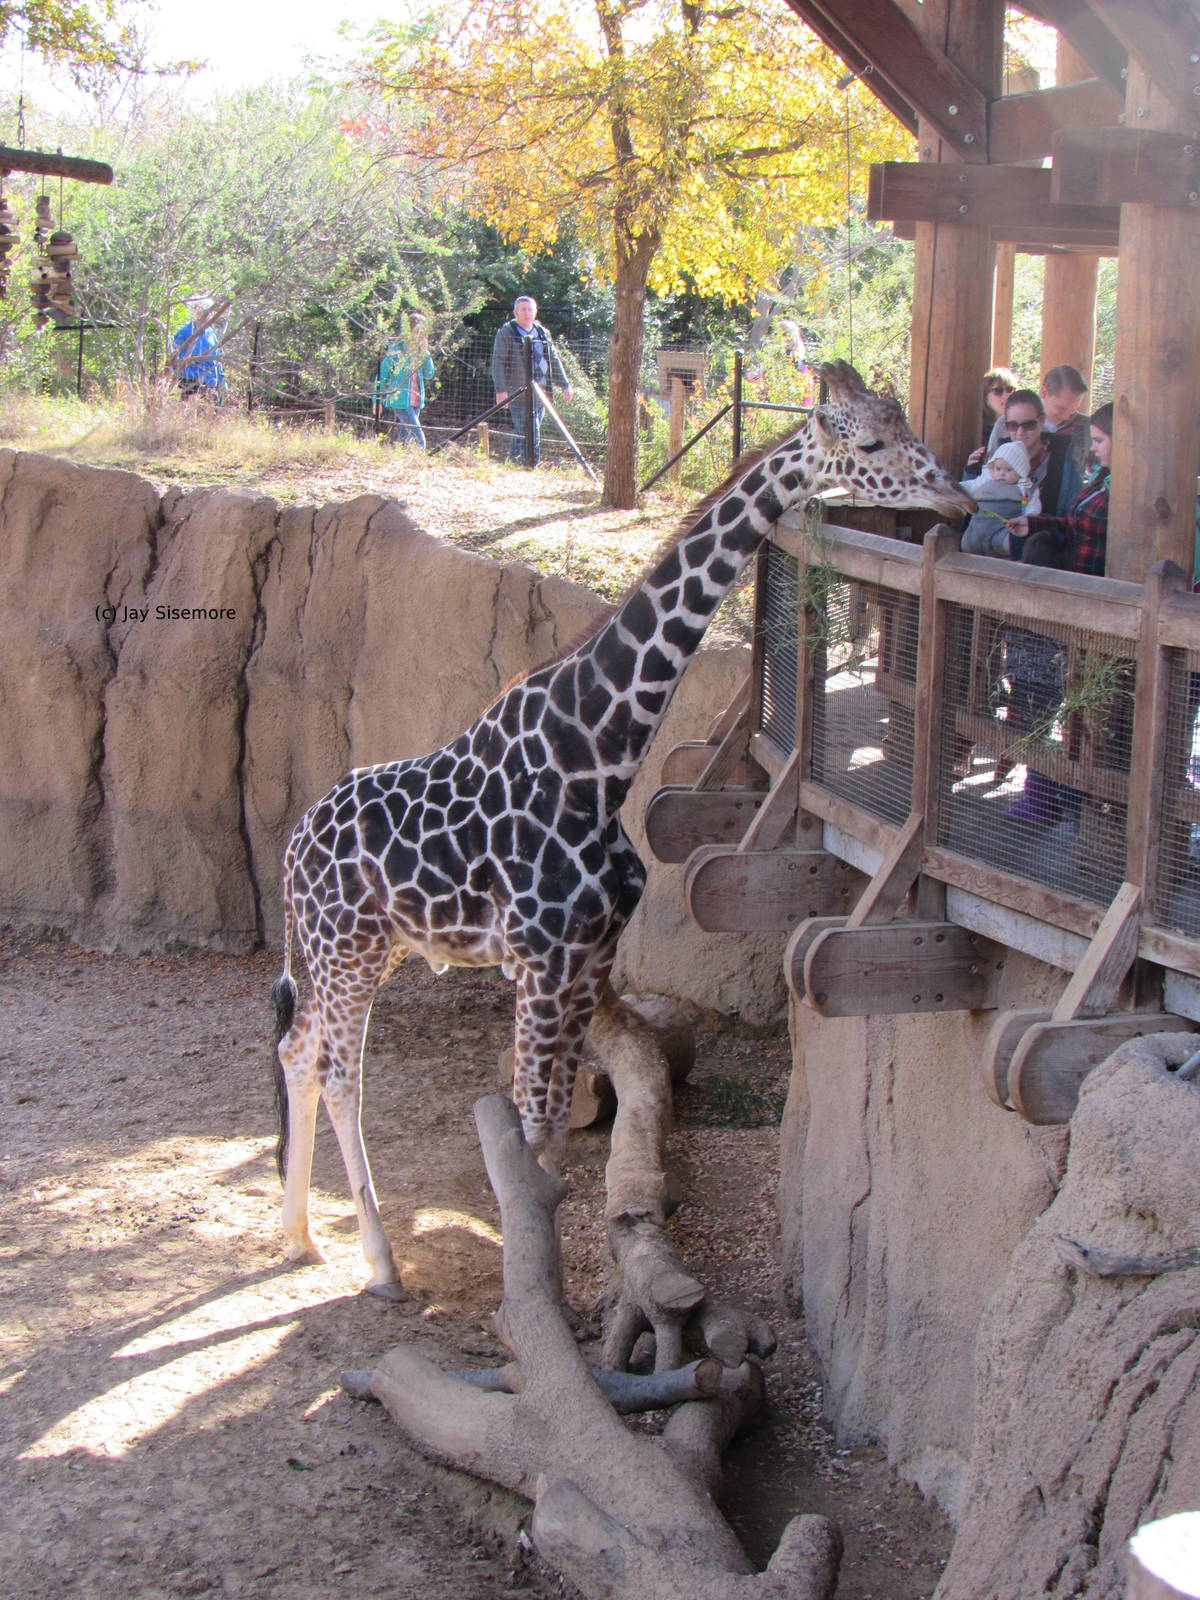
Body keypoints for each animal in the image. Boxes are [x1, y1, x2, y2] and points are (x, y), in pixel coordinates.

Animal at [272, 360, 976, 1297]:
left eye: (906, 426)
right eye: (869, 441)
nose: (959, 502)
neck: (602, 755)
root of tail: (291, 846)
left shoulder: (589, 956)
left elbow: (554, 1136)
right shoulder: (540, 960)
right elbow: (532, 1128)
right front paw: (528, 1300)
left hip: (361, 947)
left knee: (295, 1049)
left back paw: (299, 1236)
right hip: (345, 945)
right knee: (338, 1072)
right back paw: (379, 1263)